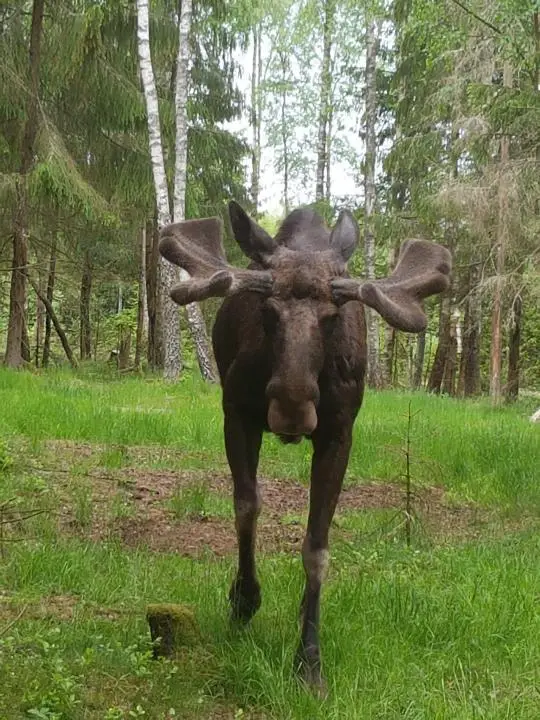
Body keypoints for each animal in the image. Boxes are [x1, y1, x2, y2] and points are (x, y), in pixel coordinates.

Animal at [159, 204, 452, 692]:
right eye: (268, 312)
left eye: (332, 317)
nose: (292, 407)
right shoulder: (237, 414)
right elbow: (246, 508)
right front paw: (245, 599)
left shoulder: (339, 433)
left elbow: (317, 546)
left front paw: (309, 659)